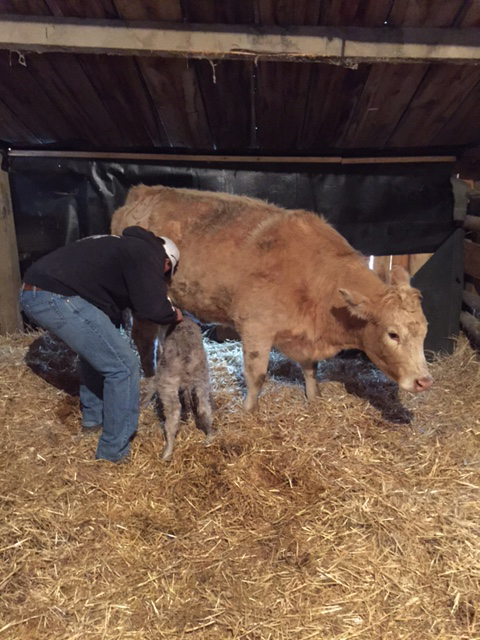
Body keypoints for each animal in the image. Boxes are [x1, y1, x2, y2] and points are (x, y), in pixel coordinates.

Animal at [112, 185, 433, 411]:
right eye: (393, 334)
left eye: (424, 332)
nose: (424, 380)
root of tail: (143, 191)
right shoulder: (256, 327)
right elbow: (256, 375)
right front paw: (250, 411)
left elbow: (311, 369)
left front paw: (314, 398)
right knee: (144, 342)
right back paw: (151, 380)